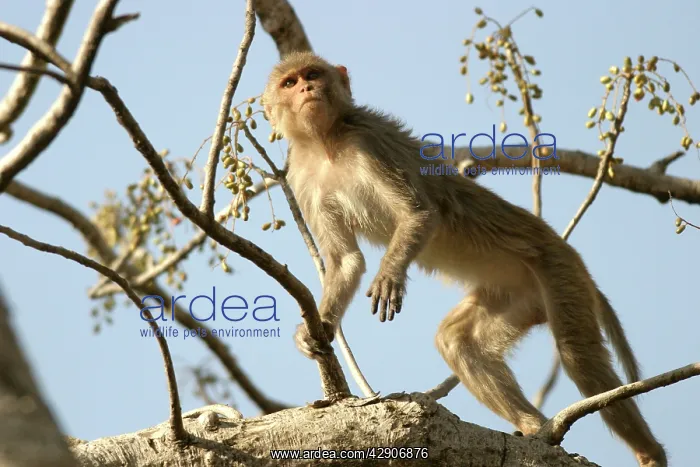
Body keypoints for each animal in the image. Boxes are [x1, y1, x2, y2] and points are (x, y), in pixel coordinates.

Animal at [262, 51, 667, 467]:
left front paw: (390, 274)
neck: (327, 143)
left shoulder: (367, 142)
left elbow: (420, 214)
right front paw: (319, 327)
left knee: (577, 355)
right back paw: (535, 428)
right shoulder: (302, 177)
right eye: (289, 83)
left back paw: (649, 451)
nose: (308, 88)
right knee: (456, 341)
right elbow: (346, 261)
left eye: (312, 74)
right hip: (519, 294)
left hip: (559, 270)